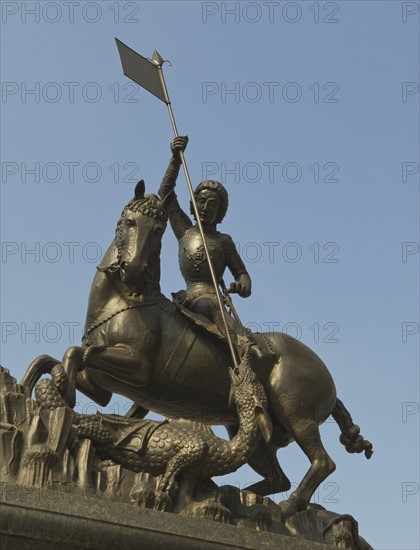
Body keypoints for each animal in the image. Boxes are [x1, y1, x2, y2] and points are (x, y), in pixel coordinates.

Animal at [21, 183, 372, 520]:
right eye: (129, 222)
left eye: (158, 230)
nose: (132, 269)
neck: (126, 300)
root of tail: (322, 370)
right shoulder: (102, 384)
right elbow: (53, 360)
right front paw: (31, 388)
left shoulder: (137, 369)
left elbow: (72, 354)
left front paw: (61, 398)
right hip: (251, 425)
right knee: (276, 477)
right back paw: (239, 499)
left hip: (296, 414)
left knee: (322, 463)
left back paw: (284, 508)